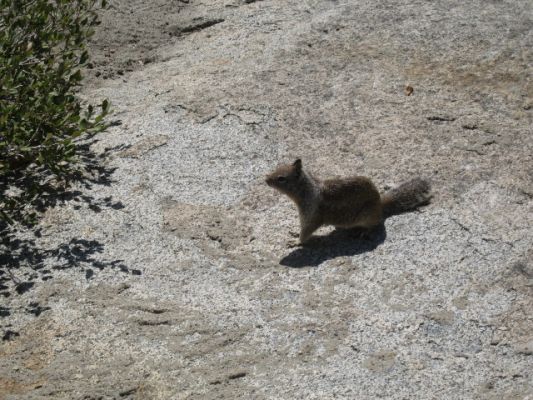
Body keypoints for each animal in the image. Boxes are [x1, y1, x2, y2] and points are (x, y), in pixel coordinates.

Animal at [264, 159, 430, 244]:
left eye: (281, 178)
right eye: (277, 168)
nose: (266, 179)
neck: (307, 190)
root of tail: (380, 204)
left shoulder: (311, 214)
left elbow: (306, 232)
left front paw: (296, 242)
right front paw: (294, 234)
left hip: (367, 215)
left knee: (375, 223)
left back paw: (365, 232)